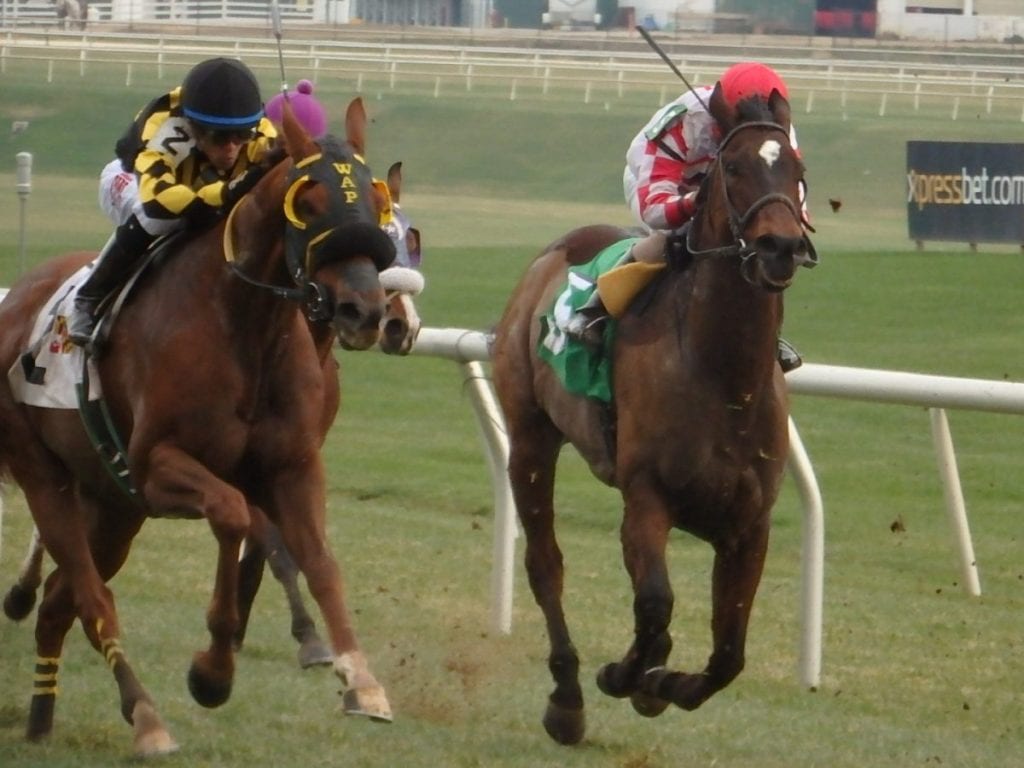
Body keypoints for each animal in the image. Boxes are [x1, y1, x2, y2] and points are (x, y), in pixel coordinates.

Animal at [0, 97, 395, 757]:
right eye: (310, 202)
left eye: (375, 201)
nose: (364, 311)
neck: (244, 325)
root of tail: (16, 301)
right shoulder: (157, 466)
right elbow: (234, 516)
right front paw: (213, 671)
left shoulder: (292, 467)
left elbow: (319, 561)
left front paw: (360, 679)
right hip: (47, 481)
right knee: (92, 598)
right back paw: (146, 717)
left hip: (111, 506)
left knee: (59, 603)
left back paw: (41, 716)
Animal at [491, 85, 819, 745]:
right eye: (733, 167)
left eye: (796, 171)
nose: (780, 247)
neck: (723, 376)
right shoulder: (646, 498)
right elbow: (656, 606)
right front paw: (626, 676)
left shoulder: (750, 524)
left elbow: (729, 652)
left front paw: (662, 684)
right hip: (530, 437)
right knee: (545, 565)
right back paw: (567, 699)